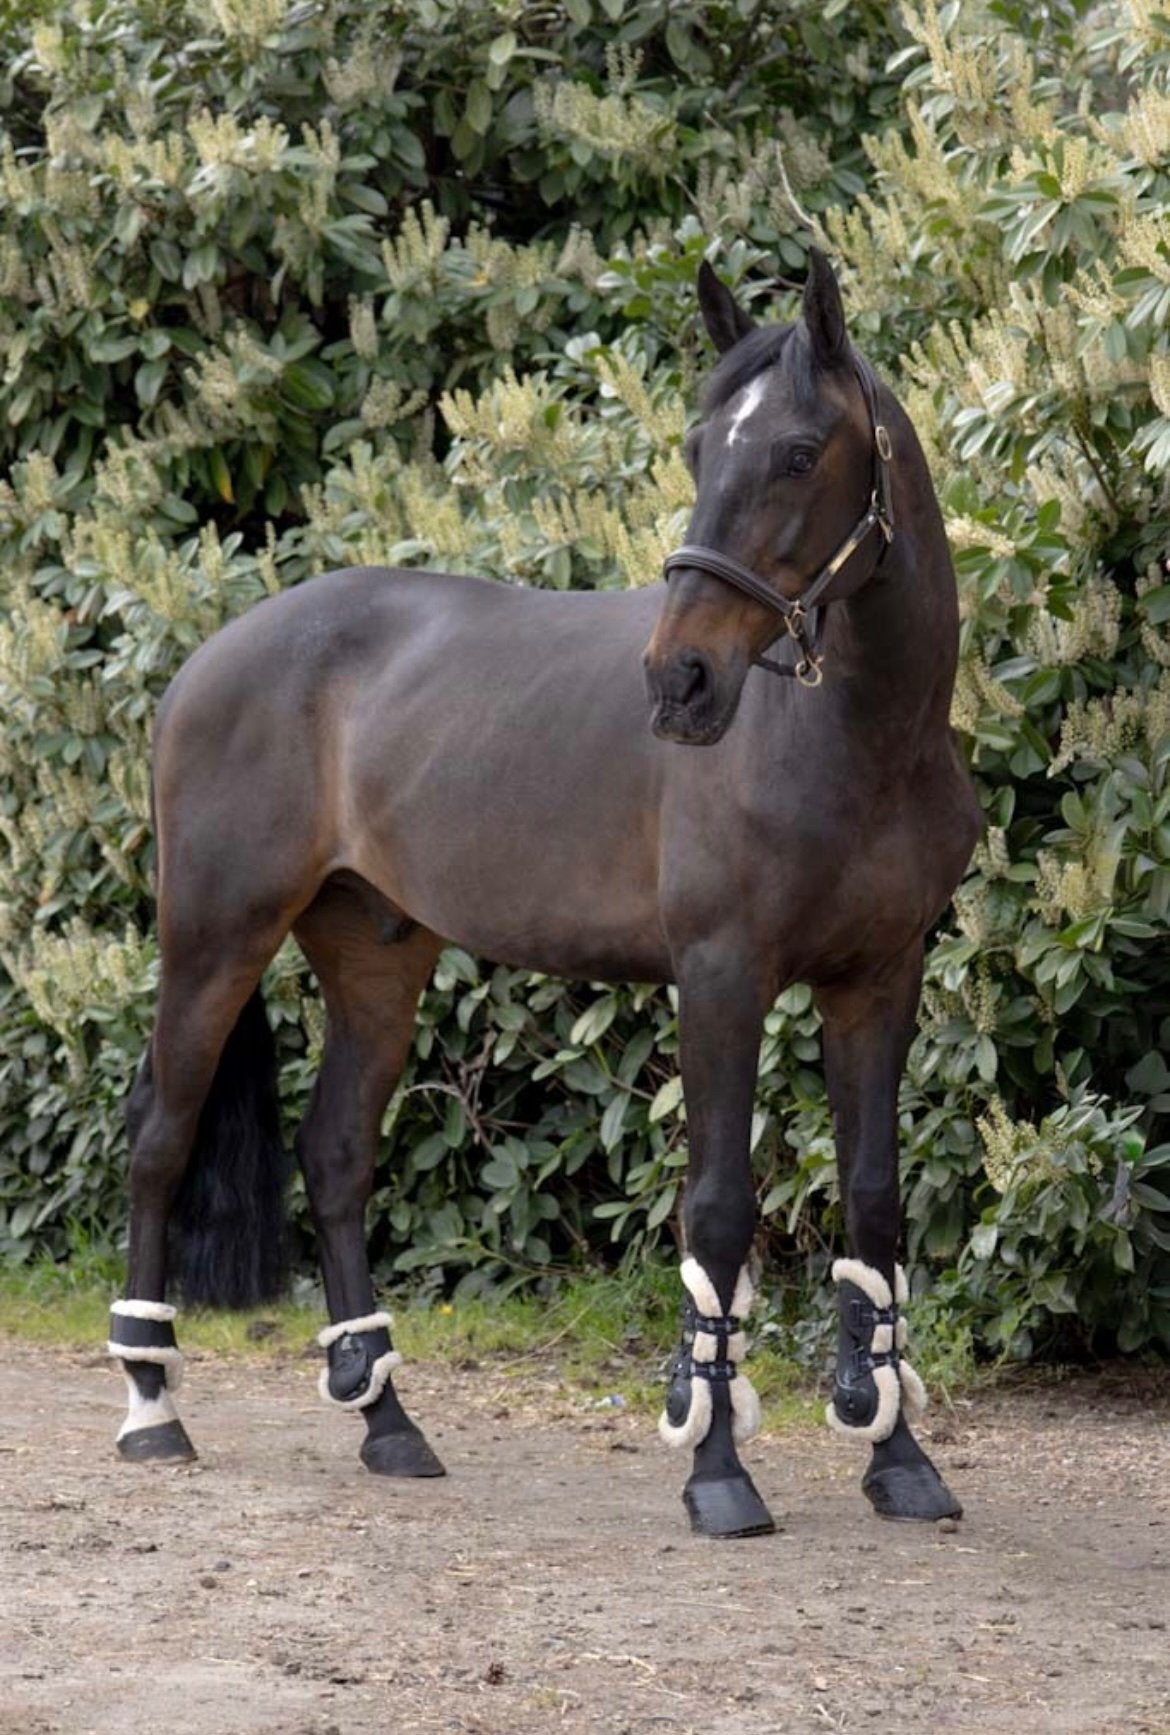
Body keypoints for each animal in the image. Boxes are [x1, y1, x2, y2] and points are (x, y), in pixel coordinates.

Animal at [108, 250, 980, 1539]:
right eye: (697, 446)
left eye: (796, 450)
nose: (682, 680)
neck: (858, 738)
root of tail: (208, 658)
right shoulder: (722, 976)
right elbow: (718, 1208)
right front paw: (717, 1471)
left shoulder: (879, 980)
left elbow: (876, 1205)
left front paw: (900, 1461)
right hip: (215, 937)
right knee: (163, 1140)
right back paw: (151, 1410)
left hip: (376, 954)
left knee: (336, 1152)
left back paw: (387, 1422)